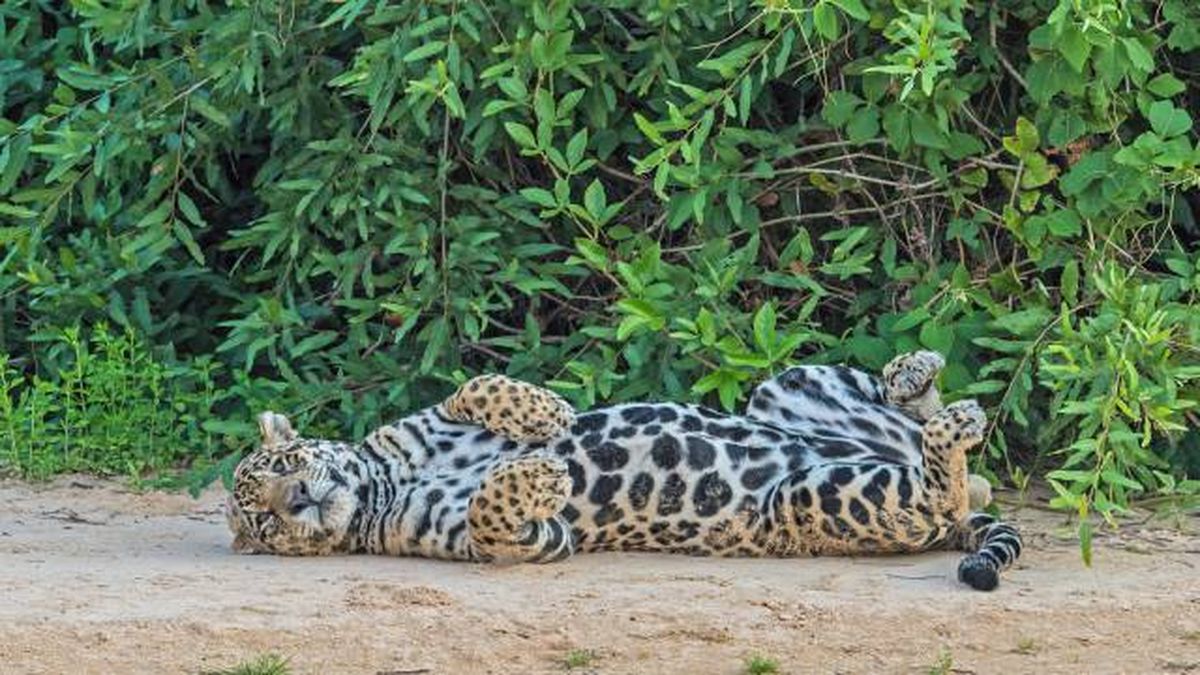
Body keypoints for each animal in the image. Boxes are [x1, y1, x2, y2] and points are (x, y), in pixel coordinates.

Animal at [226, 351, 1021, 591]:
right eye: (263, 519)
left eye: (287, 462)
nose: (300, 498)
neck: (377, 486)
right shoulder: (522, 541)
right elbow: (489, 510)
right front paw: (545, 473)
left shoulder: (433, 423)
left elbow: (472, 384)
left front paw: (544, 413)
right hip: (815, 494)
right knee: (943, 489)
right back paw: (951, 425)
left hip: (786, 386)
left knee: (942, 452)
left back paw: (918, 378)